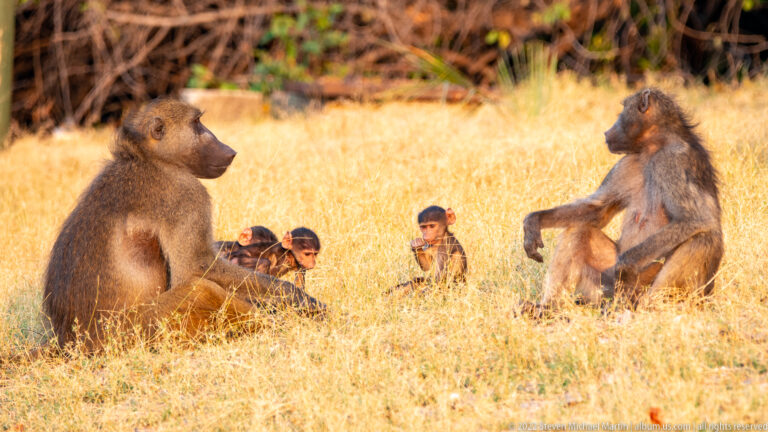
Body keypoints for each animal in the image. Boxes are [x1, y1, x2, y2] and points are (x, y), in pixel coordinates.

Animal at [43, 99, 326, 352]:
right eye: (197, 123)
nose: (229, 149)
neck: (148, 158)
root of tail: (72, 342)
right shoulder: (186, 194)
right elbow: (195, 268)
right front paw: (298, 300)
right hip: (139, 330)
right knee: (202, 289)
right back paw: (271, 324)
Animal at [521, 88, 722, 313]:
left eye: (622, 112)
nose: (607, 132)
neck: (653, 147)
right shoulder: (626, 162)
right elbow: (597, 211)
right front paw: (533, 221)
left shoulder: (674, 160)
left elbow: (696, 219)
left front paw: (625, 265)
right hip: (605, 289)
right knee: (579, 230)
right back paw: (547, 308)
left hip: (672, 290)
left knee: (703, 237)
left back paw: (648, 307)